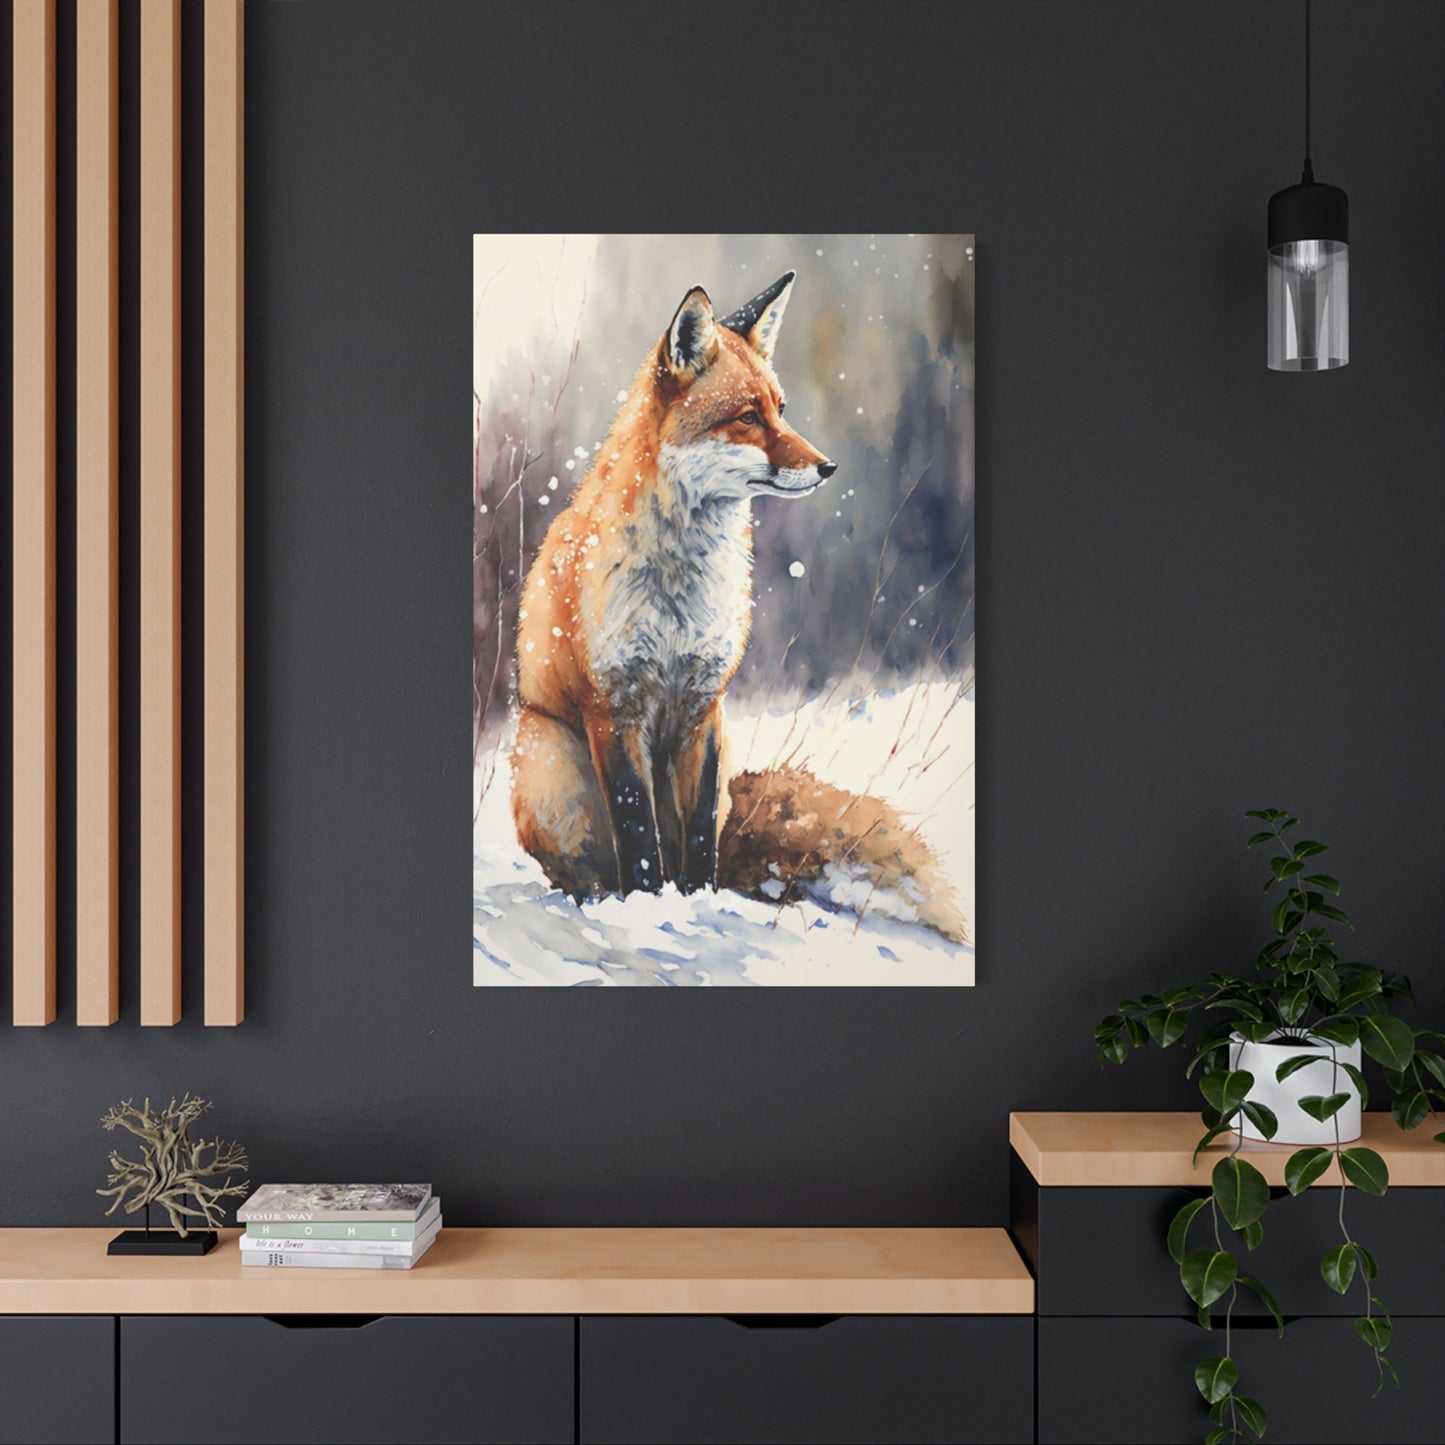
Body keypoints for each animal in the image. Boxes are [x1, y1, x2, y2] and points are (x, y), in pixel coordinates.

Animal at [510, 272, 967, 943]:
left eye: (781, 409)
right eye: (748, 417)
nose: (828, 467)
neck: (680, 589)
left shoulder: (706, 705)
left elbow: (697, 835)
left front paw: (696, 901)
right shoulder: (614, 710)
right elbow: (638, 837)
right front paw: (648, 908)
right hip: (552, 769)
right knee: (589, 867)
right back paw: (599, 897)